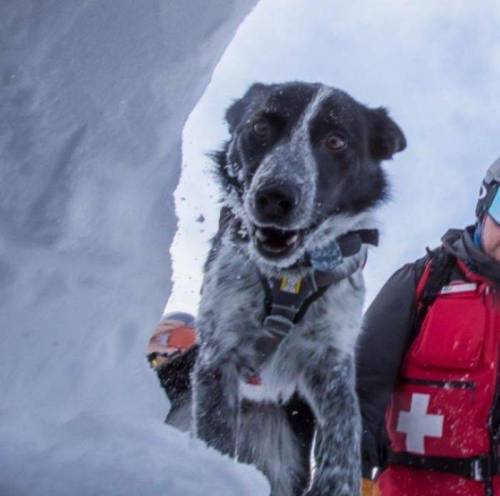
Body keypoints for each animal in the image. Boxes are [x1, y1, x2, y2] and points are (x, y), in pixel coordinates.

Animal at [191, 82, 406, 496]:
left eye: (336, 141)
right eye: (260, 127)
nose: (275, 196)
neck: (290, 276)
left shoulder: (330, 361)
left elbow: (345, 431)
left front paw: (337, 484)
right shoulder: (219, 353)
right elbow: (216, 436)